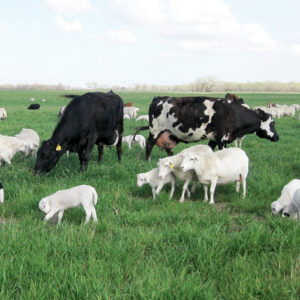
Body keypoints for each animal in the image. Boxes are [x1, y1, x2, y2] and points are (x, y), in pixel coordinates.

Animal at [135, 96, 278, 162]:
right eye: (273, 123)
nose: (277, 137)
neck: (234, 113)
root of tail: (158, 98)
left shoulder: (214, 139)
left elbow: (210, 151)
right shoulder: (222, 139)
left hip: (168, 134)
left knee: (168, 149)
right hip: (155, 131)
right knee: (149, 144)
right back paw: (147, 160)